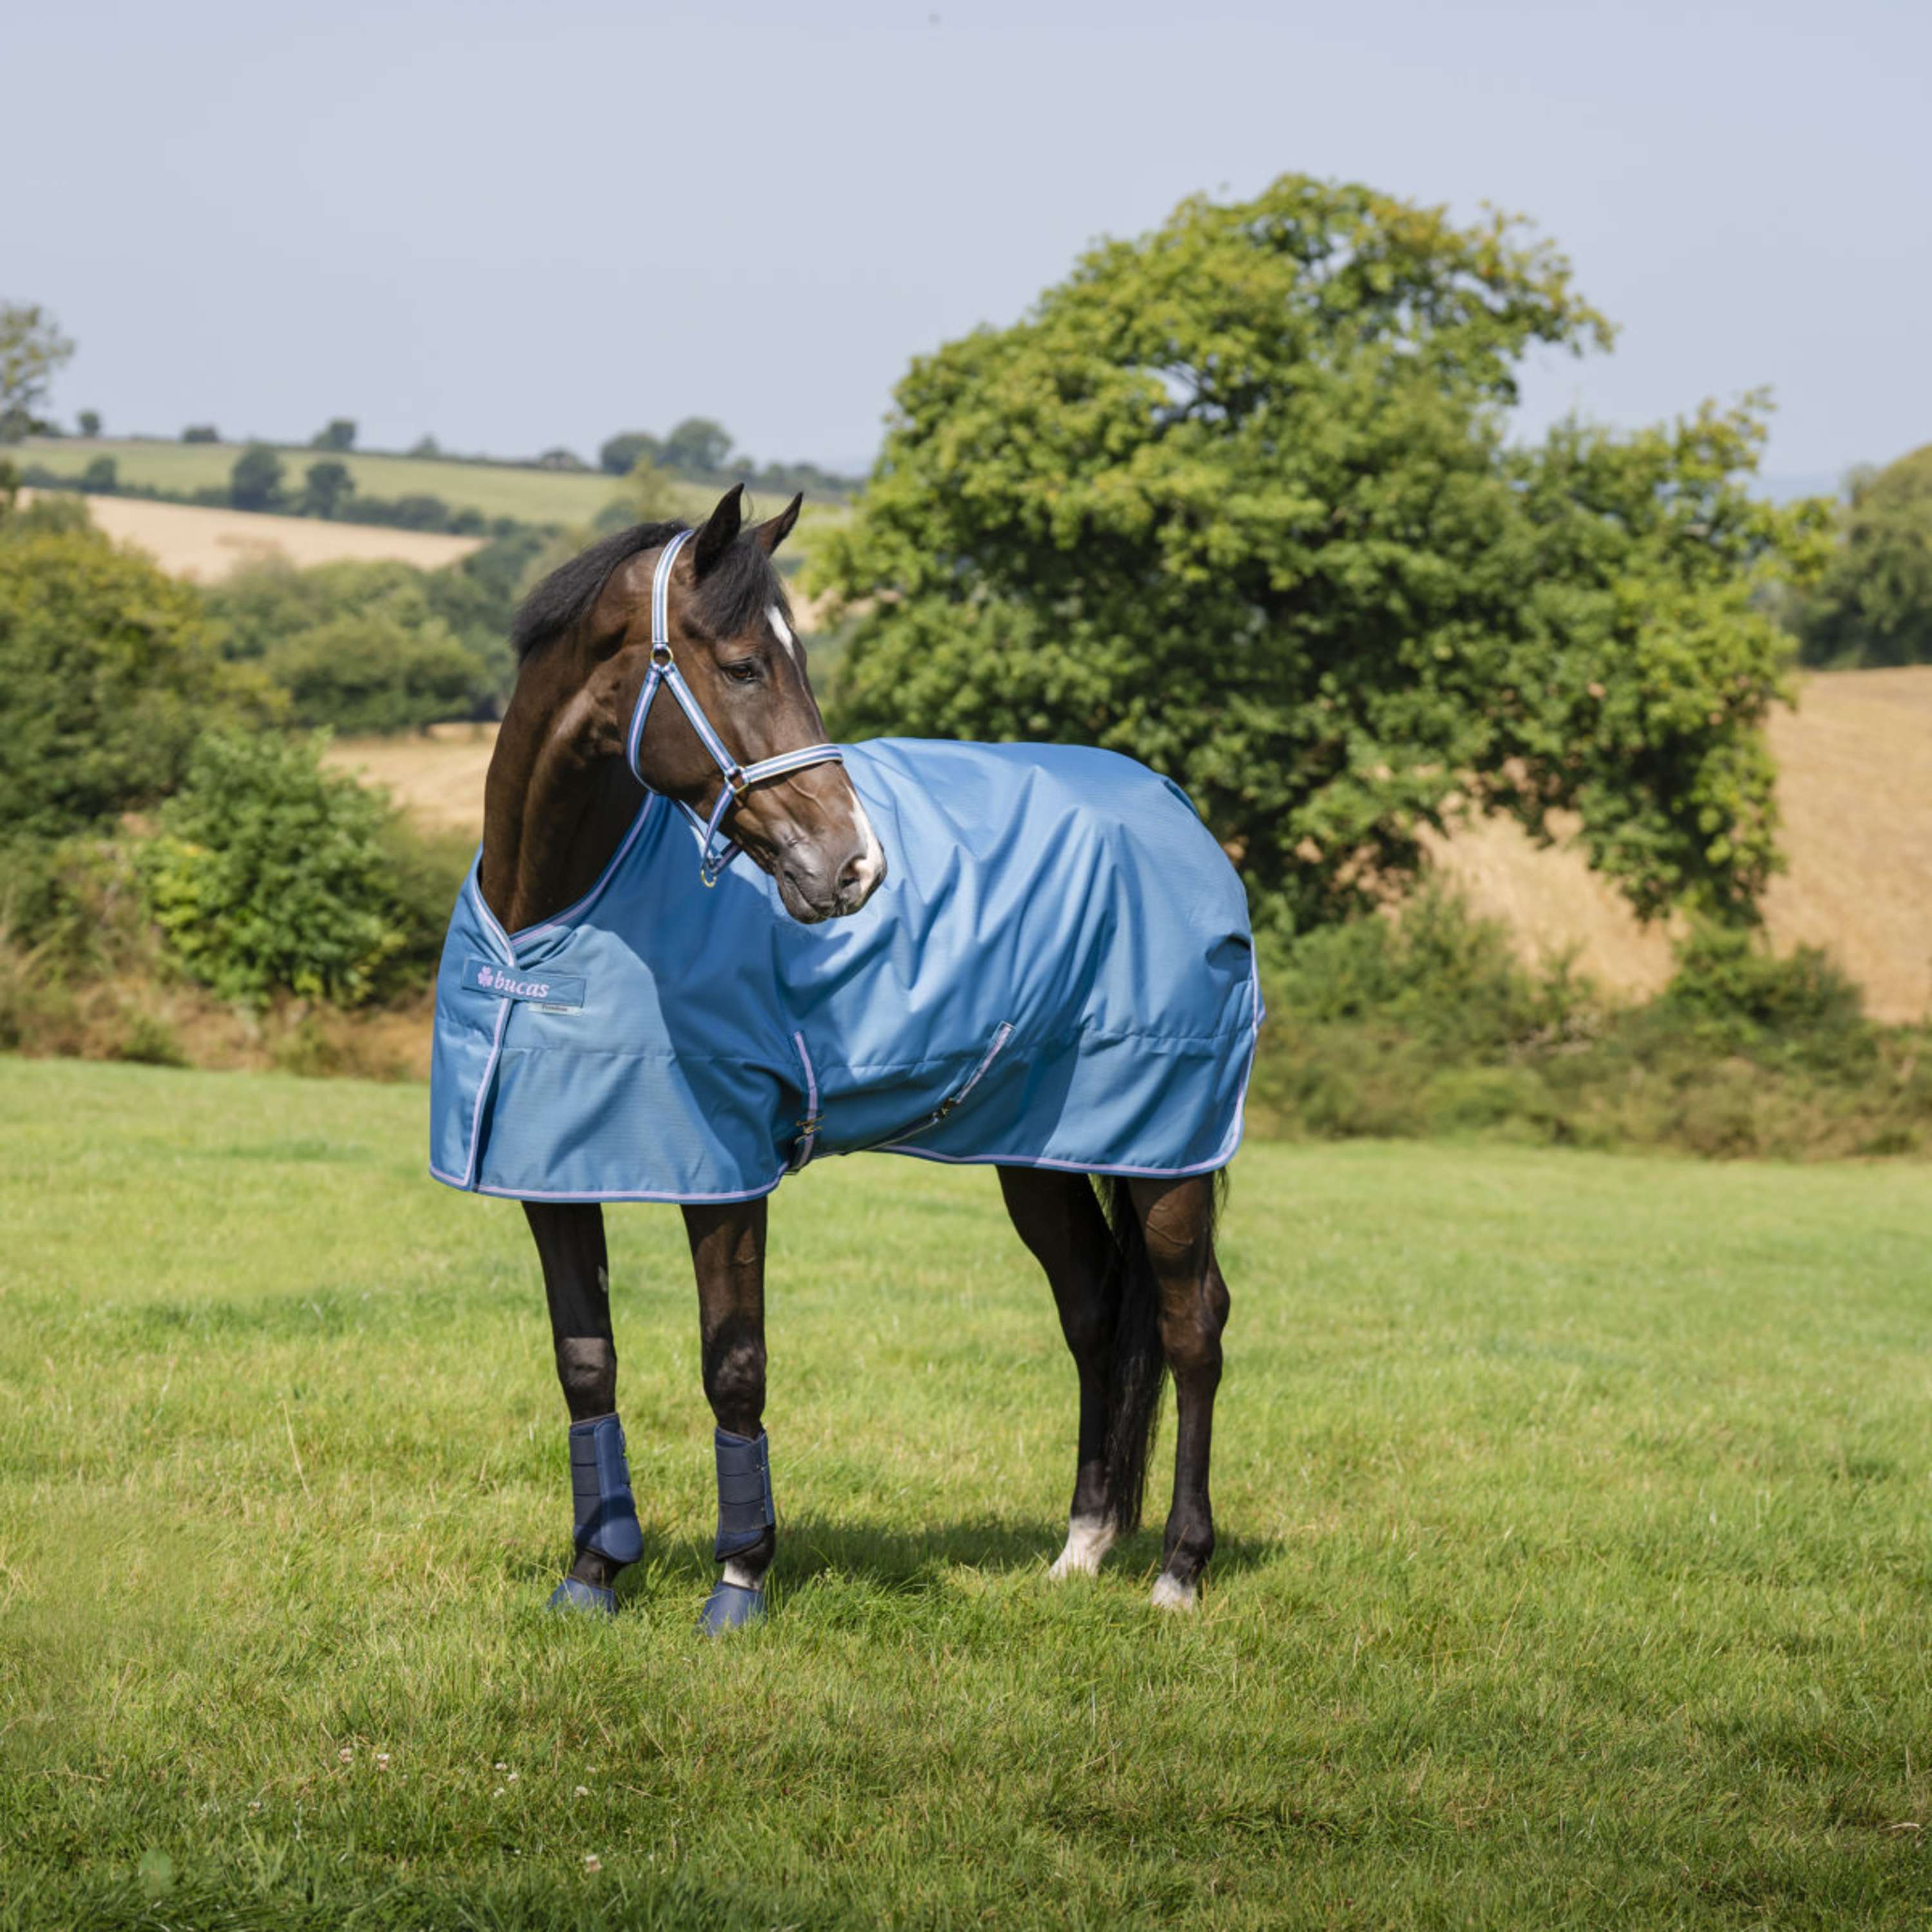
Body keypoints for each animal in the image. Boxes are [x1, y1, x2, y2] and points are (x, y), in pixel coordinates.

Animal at [430, 486, 1257, 1630]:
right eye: (742, 666)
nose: (856, 865)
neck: (549, 918)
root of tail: (1177, 810)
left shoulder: (728, 1177)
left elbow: (734, 1364)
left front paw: (739, 1582)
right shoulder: (550, 1173)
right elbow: (585, 1364)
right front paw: (593, 1574)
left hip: (1167, 1153)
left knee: (1191, 1326)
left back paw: (1180, 1569)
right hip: (1042, 1157)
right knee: (1094, 1315)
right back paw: (1082, 1546)